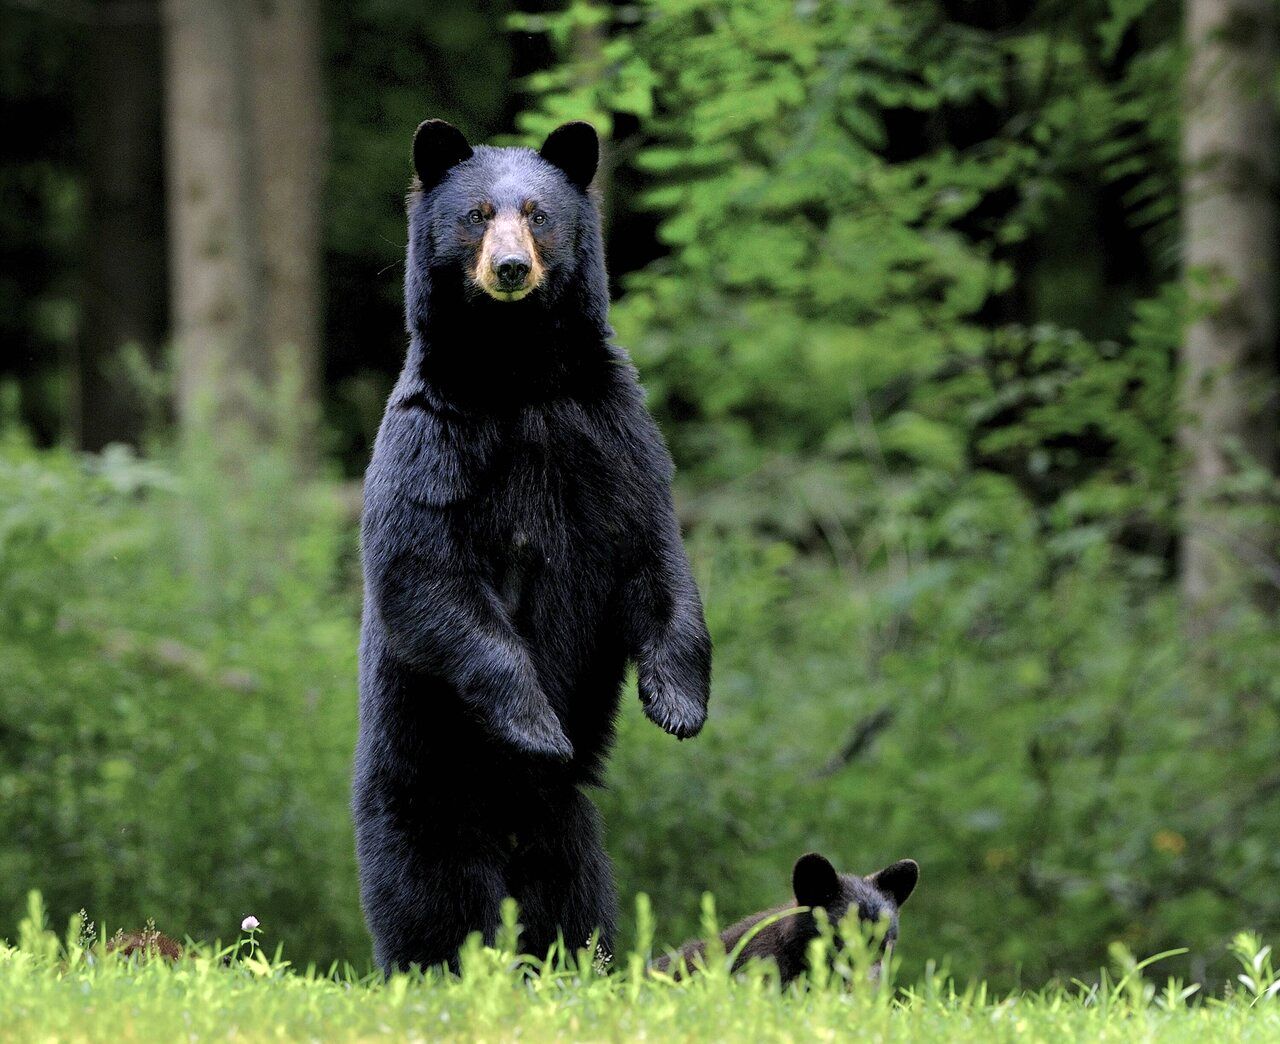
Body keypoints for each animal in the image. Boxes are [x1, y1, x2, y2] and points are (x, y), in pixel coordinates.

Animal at [353, 118, 711, 972]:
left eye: (539, 214)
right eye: (477, 214)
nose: (511, 268)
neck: (520, 377)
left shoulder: (613, 436)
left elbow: (655, 559)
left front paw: (678, 704)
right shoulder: (433, 440)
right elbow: (426, 574)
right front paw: (538, 727)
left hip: (566, 824)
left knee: (574, 894)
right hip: (422, 778)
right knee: (430, 894)